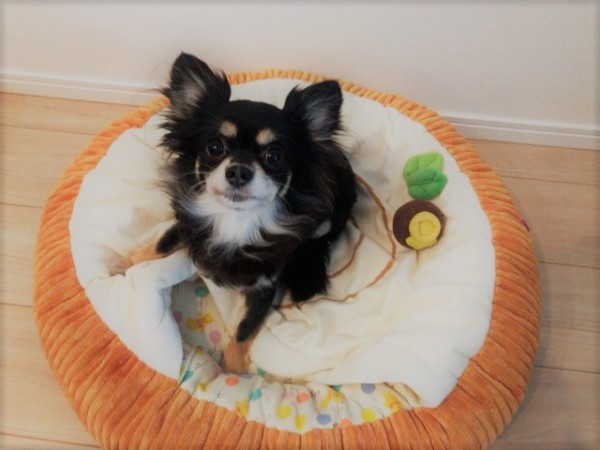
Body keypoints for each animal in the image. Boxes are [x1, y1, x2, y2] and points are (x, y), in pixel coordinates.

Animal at [156, 53, 357, 371]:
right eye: (215, 147)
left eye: (274, 156)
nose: (239, 170)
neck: (236, 222)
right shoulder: (191, 224)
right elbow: (164, 241)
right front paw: (128, 262)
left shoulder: (264, 286)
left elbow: (245, 327)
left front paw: (234, 368)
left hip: (329, 219)